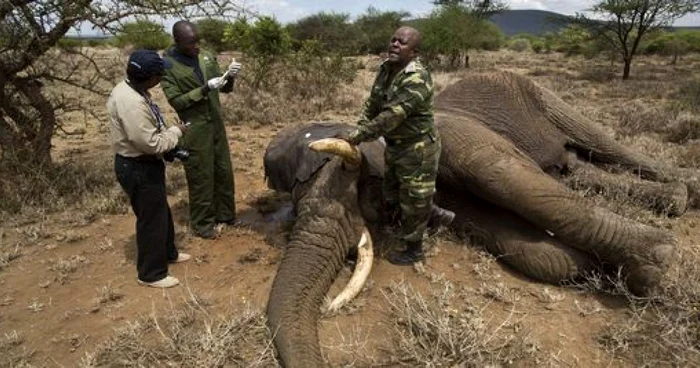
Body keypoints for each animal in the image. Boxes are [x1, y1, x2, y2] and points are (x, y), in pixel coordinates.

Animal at [260, 70, 688, 366]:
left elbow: (510, 181)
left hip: (541, 94)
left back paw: (684, 195)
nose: (329, 309)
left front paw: (653, 265)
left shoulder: (454, 140)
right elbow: (528, 249)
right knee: (576, 169)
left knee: (605, 145)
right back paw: (676, 199)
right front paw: (586, 266)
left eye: (357, 181)